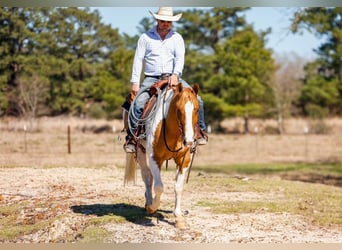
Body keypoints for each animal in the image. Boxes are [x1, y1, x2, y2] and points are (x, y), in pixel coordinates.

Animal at [123, 82, 199, 229]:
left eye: (197, 110)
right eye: (178, 110)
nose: (189, 141)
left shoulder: (185, 159)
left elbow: (178, 186)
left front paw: (178, 218)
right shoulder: (154, 157)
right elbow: (159, 187)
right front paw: (152, 207)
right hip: (141, 152)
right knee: (147, 176)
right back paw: (149, 203)